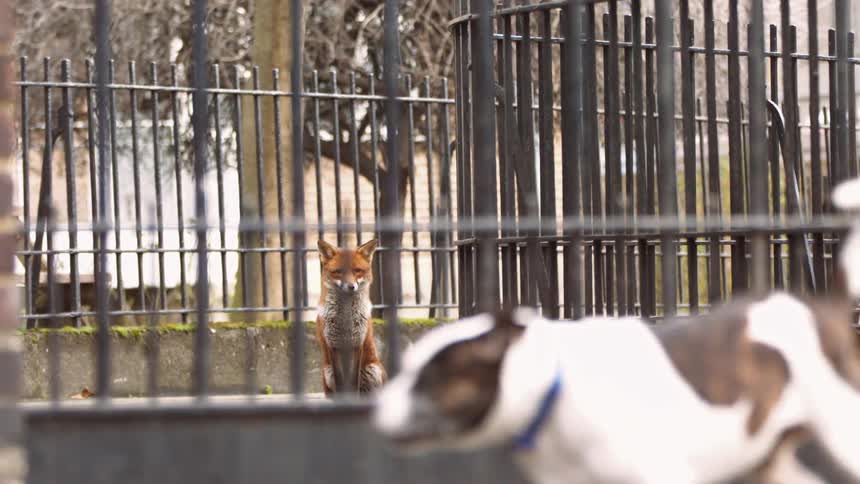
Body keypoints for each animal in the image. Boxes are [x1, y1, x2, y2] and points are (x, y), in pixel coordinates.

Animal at [316, 238, 387, 396]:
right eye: (338, 272)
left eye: (357, 270)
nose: (351, 286)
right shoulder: (333, 345)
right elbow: (341, 382)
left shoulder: (357, 343)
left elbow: (354, 383)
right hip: (327, 372)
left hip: (373, 371)